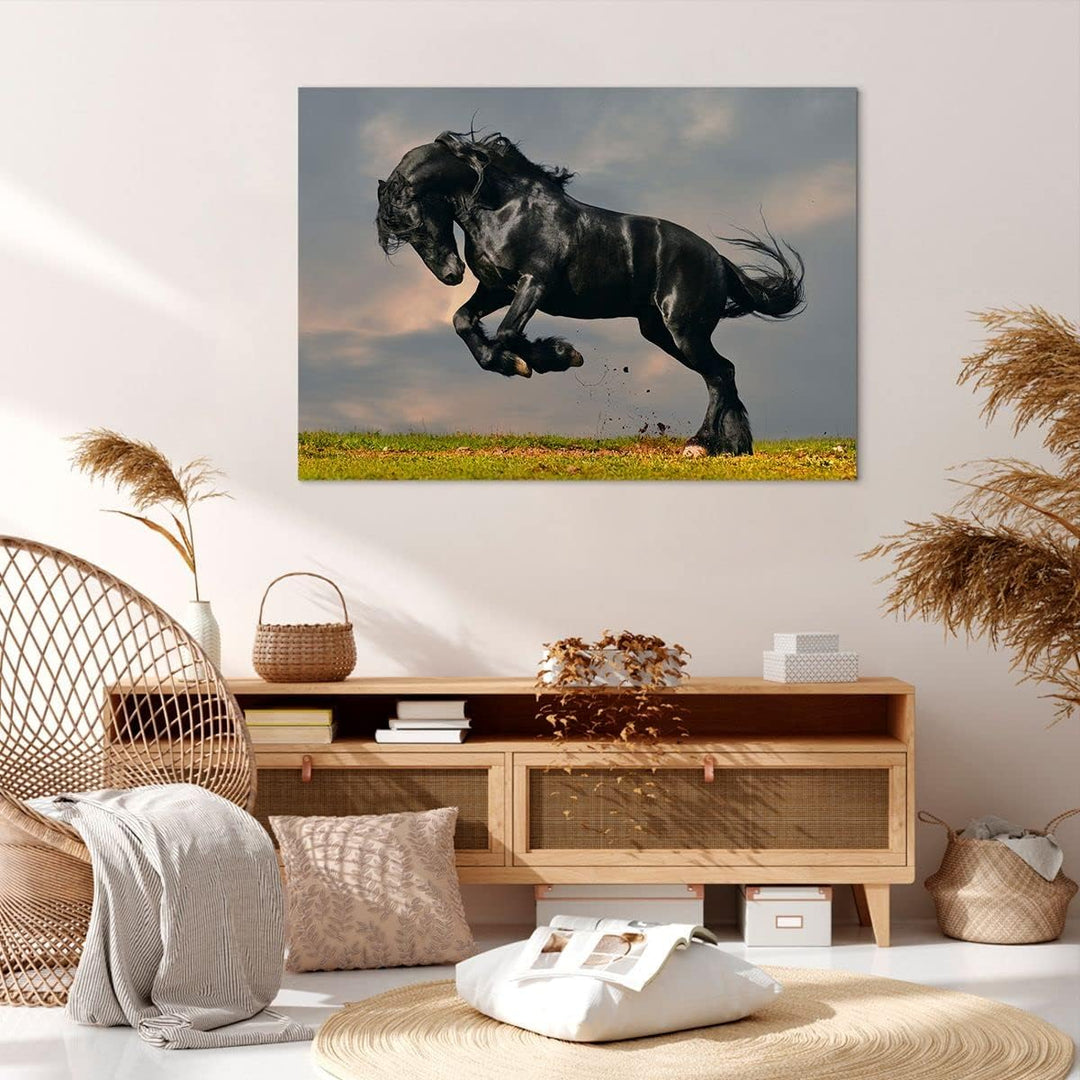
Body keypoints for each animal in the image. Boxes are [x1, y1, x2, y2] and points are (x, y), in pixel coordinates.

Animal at [375, 130, 805, 456]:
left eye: (415, 222)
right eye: (400, 232)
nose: (450, 275)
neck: (504, 208)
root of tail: (718, 260)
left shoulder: (534, 283)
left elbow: (508, 332)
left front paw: (556, 356)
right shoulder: (496, 287)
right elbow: (463, 321)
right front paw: (512, 363)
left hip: (685, 331)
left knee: (719, 374)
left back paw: (700, 444)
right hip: (661, 333)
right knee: (723, 373)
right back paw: (733, 446)